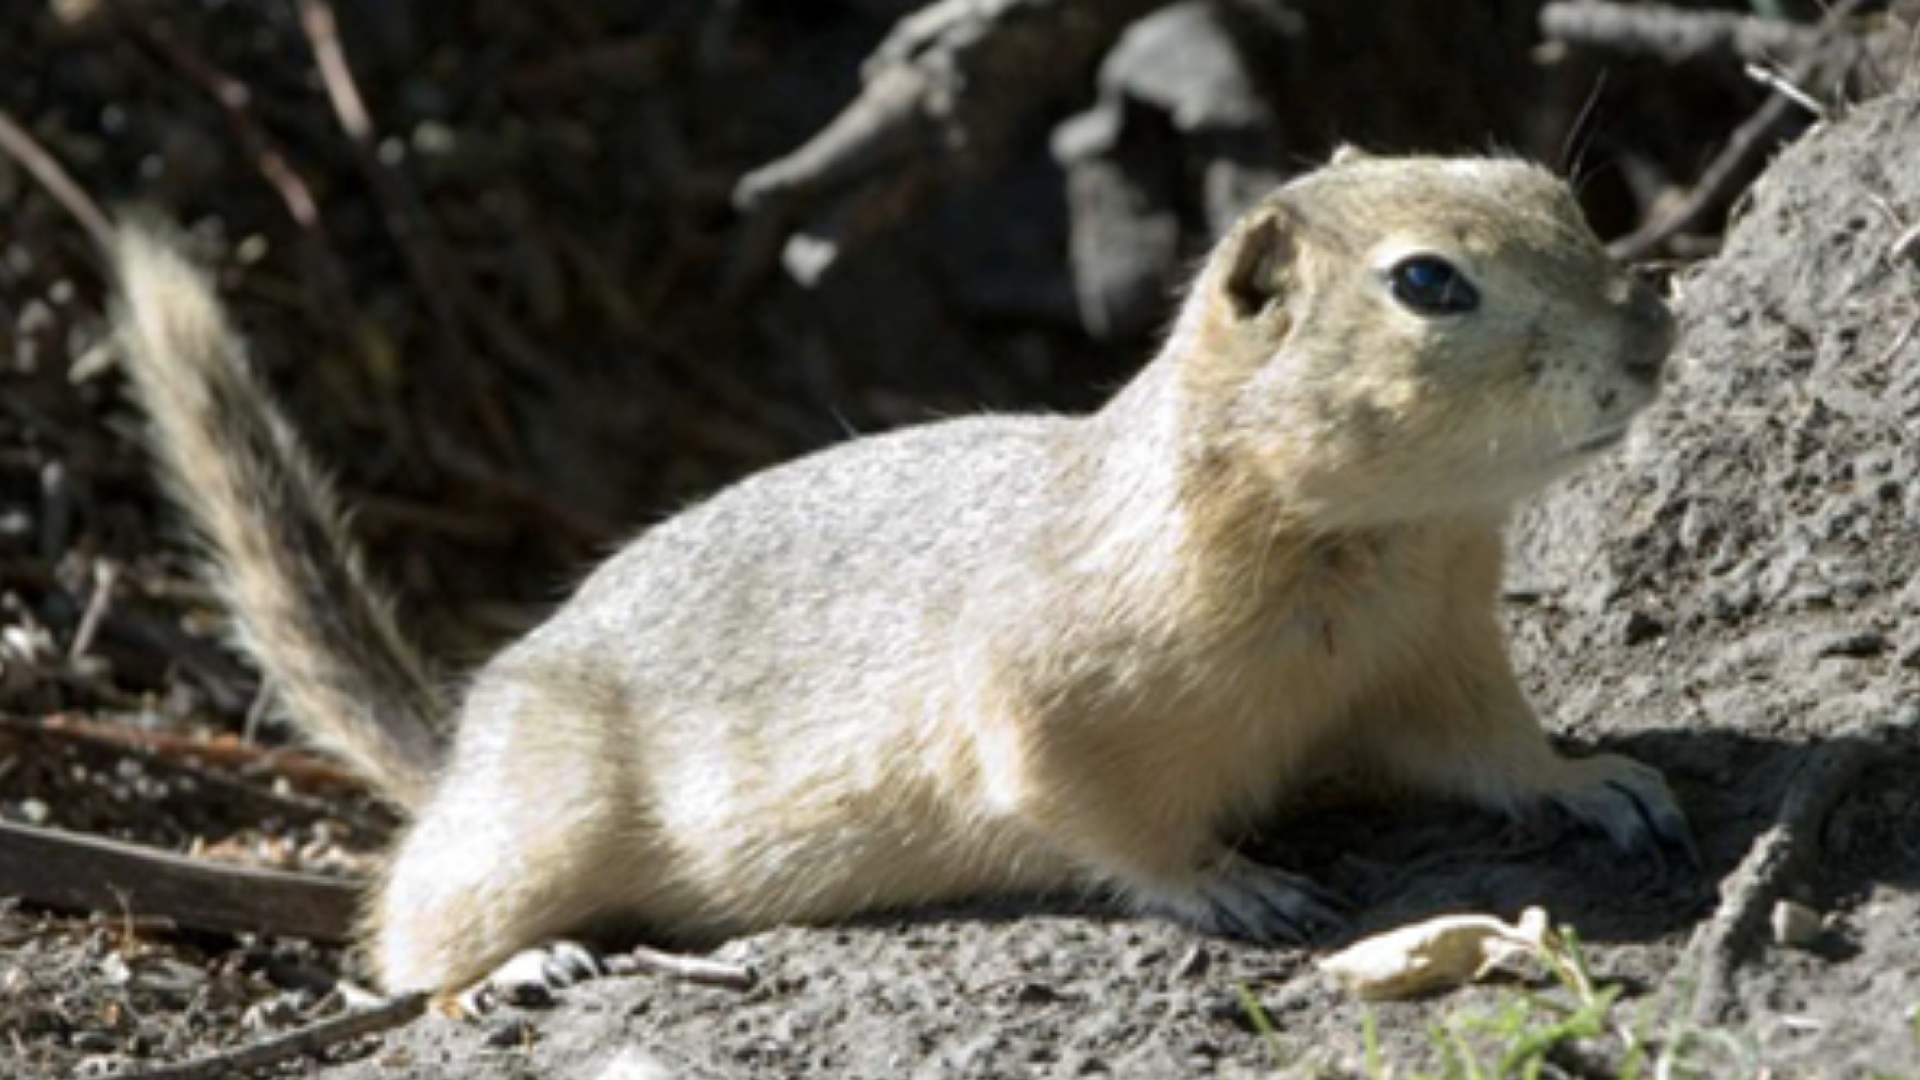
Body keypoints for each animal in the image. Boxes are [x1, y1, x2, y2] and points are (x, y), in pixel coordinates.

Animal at [109, 150, 1690, 996]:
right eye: (1428, 282)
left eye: (1555, 190)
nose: (1653, 330)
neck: (1375, 546)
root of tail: (457, 745)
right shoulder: (1047, 696)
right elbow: (1088, 808)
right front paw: (1227, 884)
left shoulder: (1437, 656)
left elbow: (1488, 752)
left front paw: (1593, 782)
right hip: (533, 828)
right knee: (405, 926)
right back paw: (515, 968)